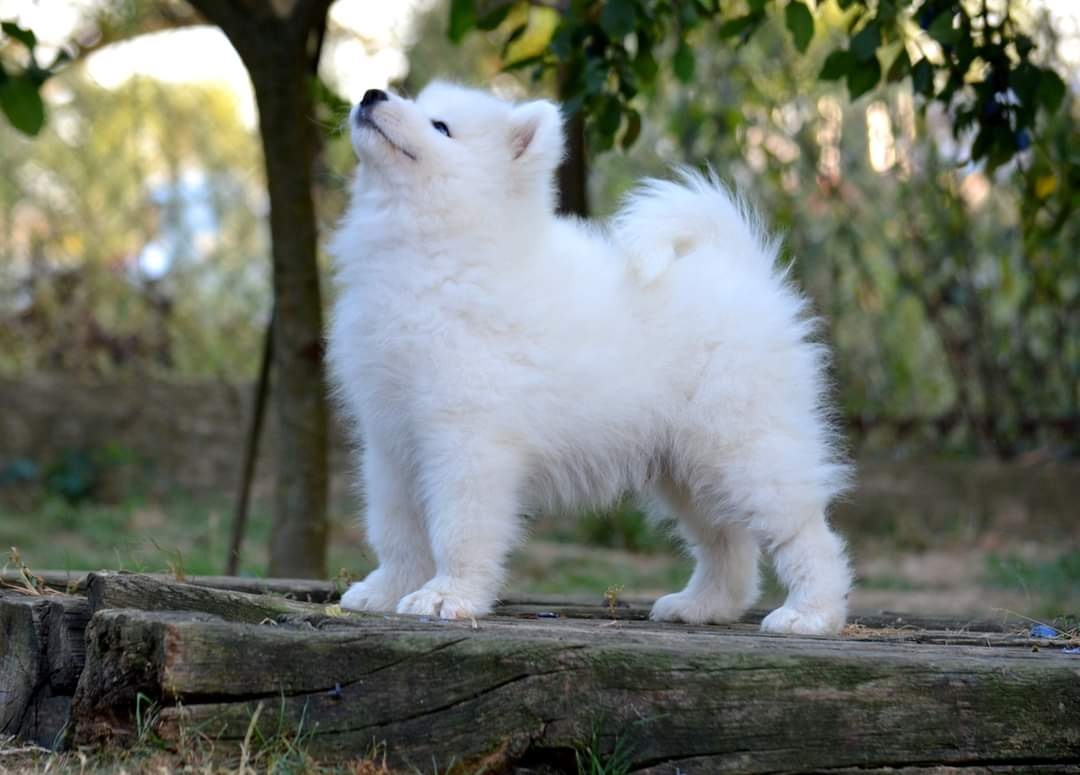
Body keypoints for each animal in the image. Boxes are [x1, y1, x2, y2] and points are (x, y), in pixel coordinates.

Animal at [328, 82, 851, 638]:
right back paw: (703, 604)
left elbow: (458, 528)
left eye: (441, 127)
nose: (372, 94)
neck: (435, 252)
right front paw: (387, 589)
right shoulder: (390, 440)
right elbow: (396, 528)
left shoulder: (466, 440)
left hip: (746, 445)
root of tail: (742, 269)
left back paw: (811, 612)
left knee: (803, 530)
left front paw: (447, 595)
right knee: (725, 541)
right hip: (687, 465)